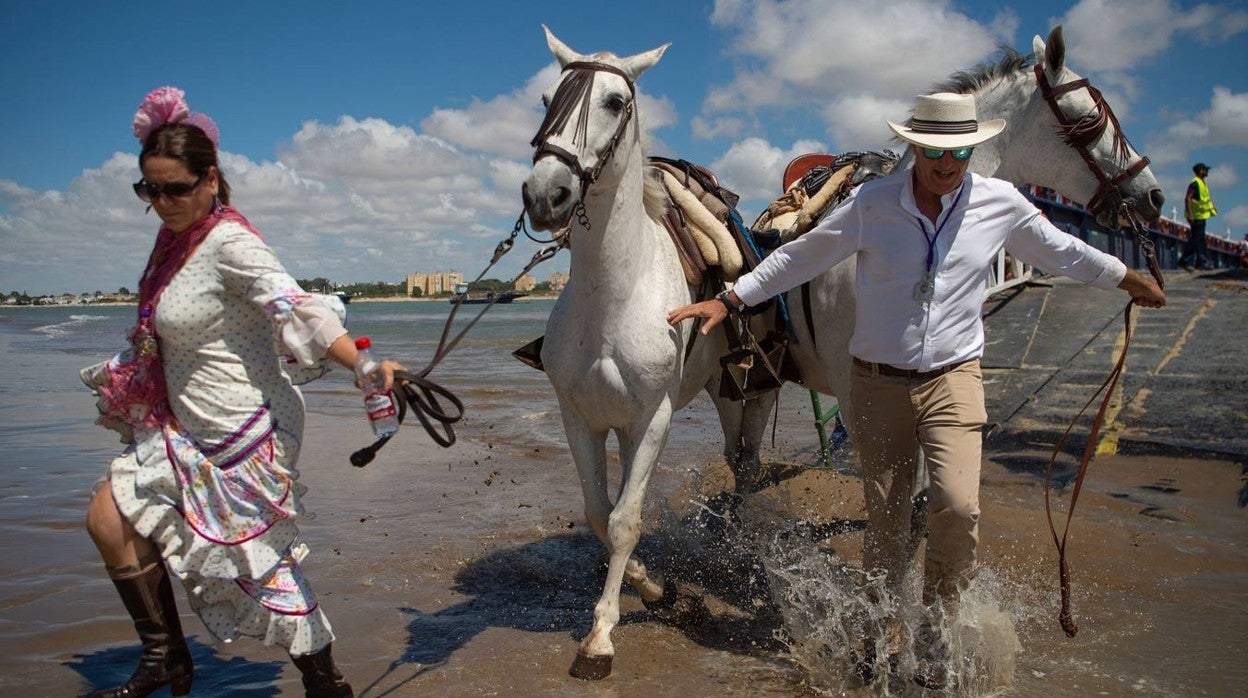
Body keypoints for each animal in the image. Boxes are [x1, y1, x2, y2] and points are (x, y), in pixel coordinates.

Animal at [521, 25, 773, 679]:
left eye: (616, 102)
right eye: (546, 99)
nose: (545, 194)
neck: (613, 294)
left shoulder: (649, 420)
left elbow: (626, 518)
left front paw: (601, 636)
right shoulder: (581, 418)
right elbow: (598, 514)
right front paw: (652, 586)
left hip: (744, 390)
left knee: (746, 461)